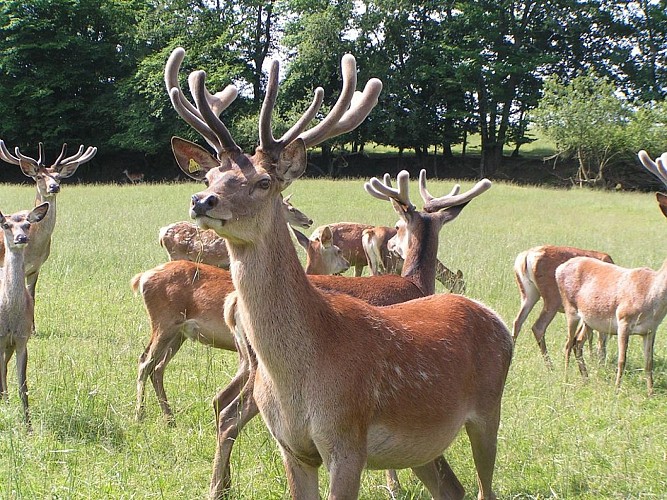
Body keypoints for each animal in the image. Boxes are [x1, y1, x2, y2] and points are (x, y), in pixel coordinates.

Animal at [0, 140, 97, 300]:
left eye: (58, 177)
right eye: (39, 176)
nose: (54, 187)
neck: (35, 247)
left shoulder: (36, 269)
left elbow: (32, 297)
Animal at [556, 149, 667, 394]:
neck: (653, 296)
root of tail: (560, 267)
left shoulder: (651, 329)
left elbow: (649, 362)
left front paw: (650, 392)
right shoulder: (623, 318)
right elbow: (622, 359)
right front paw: (617, 390)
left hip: (589, 319)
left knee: (577, 342)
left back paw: (586, 378)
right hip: (570, 308)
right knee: (567, 344)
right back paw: (566, 379)